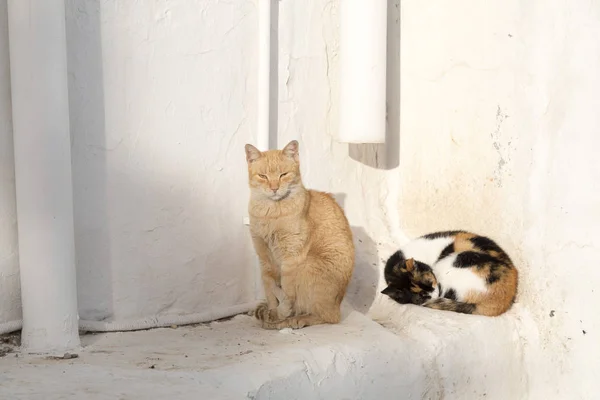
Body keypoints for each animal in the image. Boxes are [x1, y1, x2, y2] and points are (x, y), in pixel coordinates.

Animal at [245, 140, 356, 328]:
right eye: (263, 176)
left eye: (283, 175)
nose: (274, 188)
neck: (271, 214)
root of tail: (339, 304)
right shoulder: (264, 258)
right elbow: (269, 288)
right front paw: (273, 313)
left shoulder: (291, 258)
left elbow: (287, 291)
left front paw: (281, 313)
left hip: (309, 264)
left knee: (328, 316)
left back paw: (295, 319)